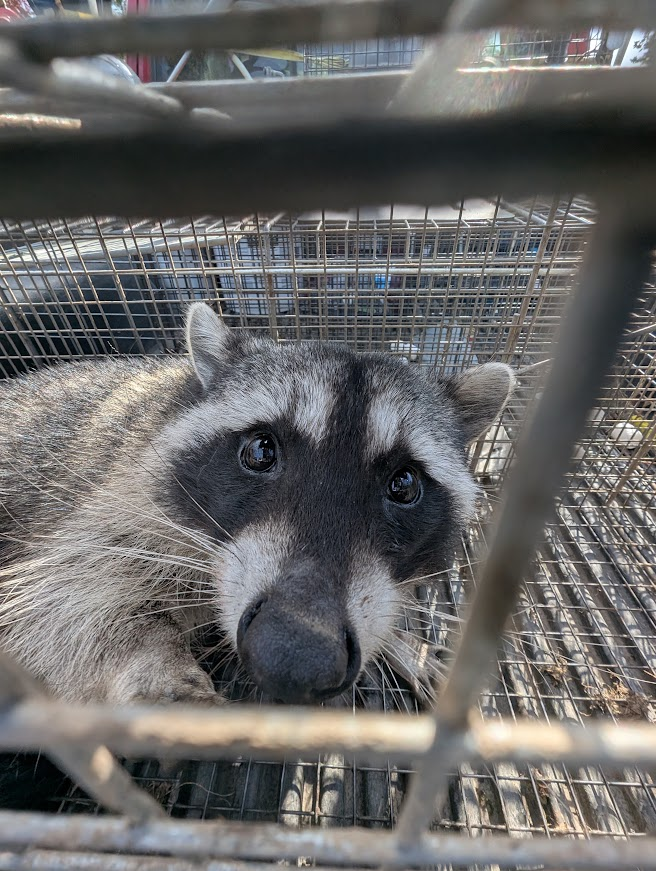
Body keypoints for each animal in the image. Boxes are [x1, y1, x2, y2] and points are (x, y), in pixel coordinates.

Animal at [0, 303, 513, 713]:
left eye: (404, 485)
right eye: (261, 451)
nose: (295, 657)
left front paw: (401, 644)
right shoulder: (114, 491)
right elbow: (61, 603)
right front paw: (151, 664)